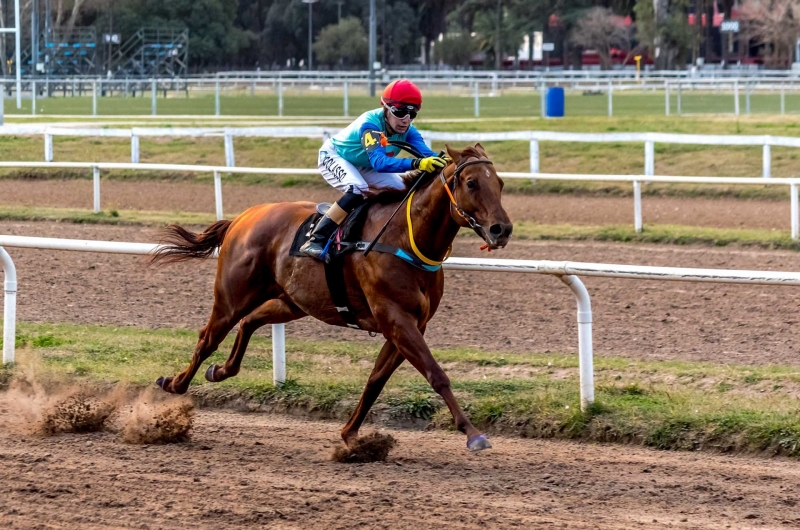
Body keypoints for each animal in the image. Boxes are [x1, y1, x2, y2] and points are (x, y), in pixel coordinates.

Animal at [150, 144, 512, 450]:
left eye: (501, 183)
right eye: (471, 183)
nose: (502, 230)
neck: (406, 239)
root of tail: (243, 217)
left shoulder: (409, 325)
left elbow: (375, 381)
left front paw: (351, 436)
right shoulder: (396, 319)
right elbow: (436, 375)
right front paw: (473, 433)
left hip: (292, 301)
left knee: (250, 322)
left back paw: (220, 371)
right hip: (232, 297)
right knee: (208, 337)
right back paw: (174, 384)